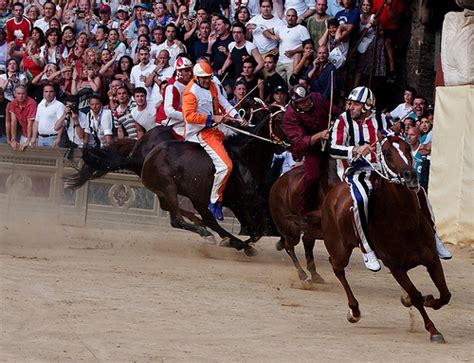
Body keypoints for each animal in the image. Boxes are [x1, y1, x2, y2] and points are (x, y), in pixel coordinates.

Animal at [322, 131, 452, 344]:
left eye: (407, 148)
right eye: (387, 153)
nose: (411, 176)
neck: (404, 223)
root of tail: (333, 192)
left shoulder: (431, 259)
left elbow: (444, 294)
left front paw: (428, 300)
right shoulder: (396, 267)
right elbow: (416, 295)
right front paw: (433, 330)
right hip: (339, 248)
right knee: (337, 268)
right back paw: (354, 311)